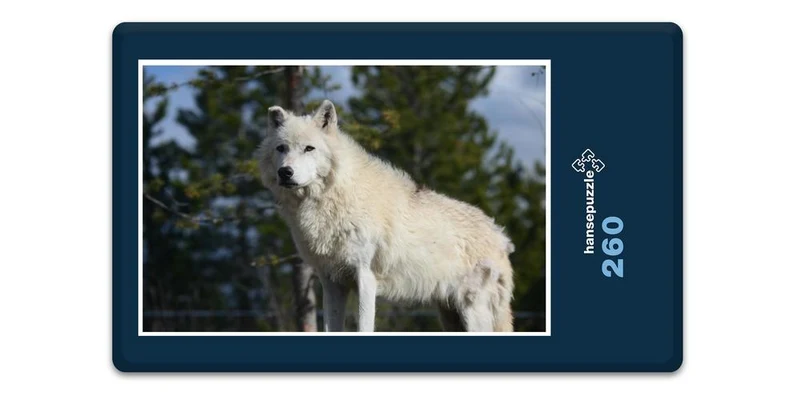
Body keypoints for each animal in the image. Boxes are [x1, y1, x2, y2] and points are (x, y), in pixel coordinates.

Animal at [257, 100, 515, 332]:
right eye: (281, 148)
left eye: (309, 148)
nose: (285, 172)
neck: (334, 196)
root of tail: (500, 236)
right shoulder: (332, 283)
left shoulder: (365, 278)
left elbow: (363, 327)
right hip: (449, 315)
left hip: (472, 312)